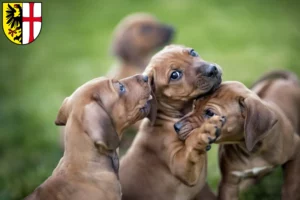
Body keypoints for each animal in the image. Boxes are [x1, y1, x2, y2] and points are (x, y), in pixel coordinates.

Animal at [119, 44, 223, 199]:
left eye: (192, 52)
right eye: (175, 75)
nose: (212, 69)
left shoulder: (202, 190)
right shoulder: (182, 168)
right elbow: (191, 145)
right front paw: (203, 132)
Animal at [175, 70, 300, 200]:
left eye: (210, 113)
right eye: (195, 104)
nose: (176, 126)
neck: (251, 148)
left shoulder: (295, 150)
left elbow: (291, 184)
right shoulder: (229, 183)